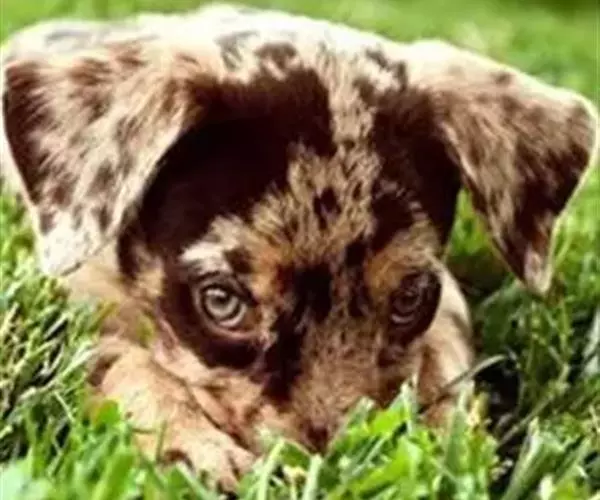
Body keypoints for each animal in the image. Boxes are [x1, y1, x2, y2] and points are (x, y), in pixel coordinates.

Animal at [1, 4, 597, 490]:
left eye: (409, 299)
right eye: (222, 301)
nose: (324, 471)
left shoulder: (445, 294)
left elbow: (444, 356)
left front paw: (444, 438)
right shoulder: (74, 290)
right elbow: (118, 359)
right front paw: (192, 447)